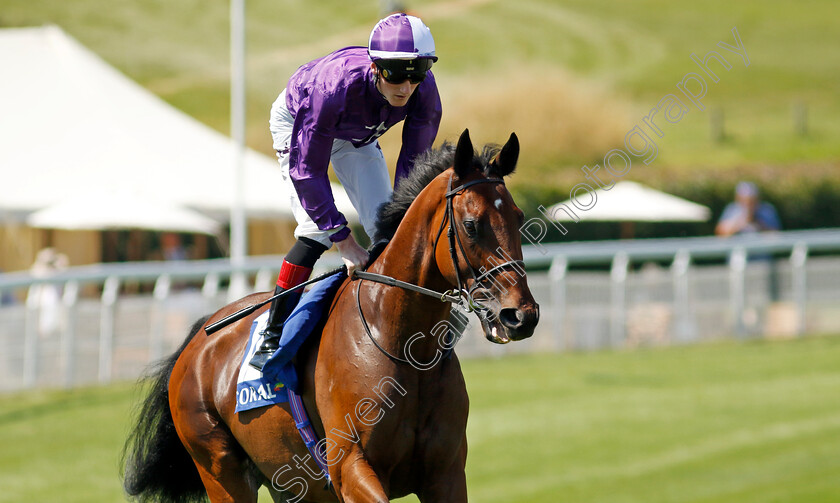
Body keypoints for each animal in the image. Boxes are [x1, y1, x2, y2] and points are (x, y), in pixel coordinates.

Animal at [123, 131, 540, 503]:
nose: (520, 315)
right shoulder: (351, 469)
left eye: (518, 217)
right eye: (471, 225)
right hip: (220, 470)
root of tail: (198, 341)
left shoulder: (446, 475)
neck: (399, 343)